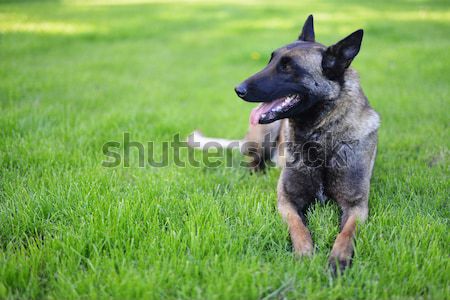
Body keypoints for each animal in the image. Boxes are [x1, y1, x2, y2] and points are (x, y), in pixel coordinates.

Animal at [187, 15, 380, 274]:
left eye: (288, 67)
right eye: (272, 60)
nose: (238, 89)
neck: (319, 139)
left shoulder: (356, 206)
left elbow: (347, 232)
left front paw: (338, 257)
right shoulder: (287, 201)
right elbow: (298, 226)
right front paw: (305, 253)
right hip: (265, 134)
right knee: (253, 163)